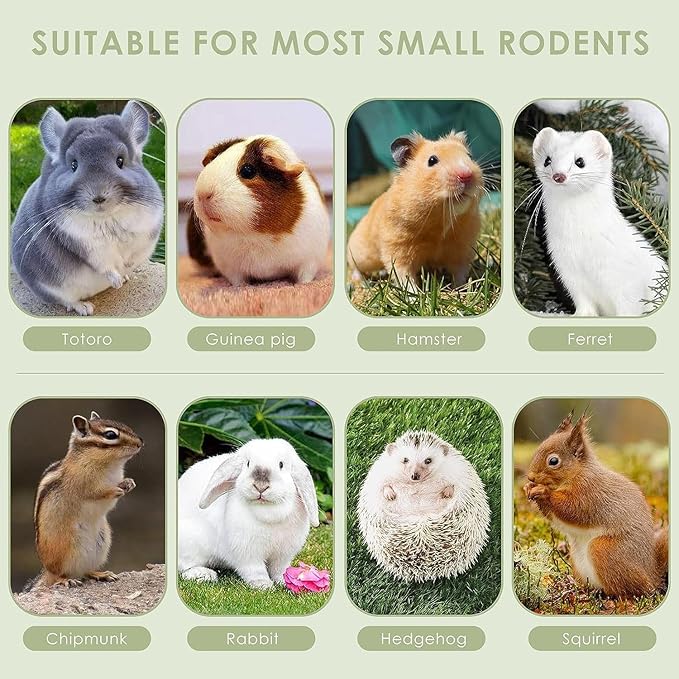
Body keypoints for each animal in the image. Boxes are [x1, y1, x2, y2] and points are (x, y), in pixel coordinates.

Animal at [11, 100, 164, 316]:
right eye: (74, 165)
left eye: (120, 161)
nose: (98, 197)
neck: (106, 218)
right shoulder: (84, 243)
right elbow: (104, 263)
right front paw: (116, 280)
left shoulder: (146, 231)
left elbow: (134, 254)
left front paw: (126, 270)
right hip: (51, 288)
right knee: (67, 301)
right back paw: (85, 307)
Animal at [178, 438, 320, 589]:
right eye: (248, 464)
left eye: (281, 465)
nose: (260, 486)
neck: (267, 510)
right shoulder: (247, 553)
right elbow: (255, 570)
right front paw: (264, 585)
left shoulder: (283, 555)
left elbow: (279, 570)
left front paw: (284, 581)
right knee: (184, 567)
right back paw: (203, 574)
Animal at [187, 135, 329, 286]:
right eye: (213, 161)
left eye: (247, 171)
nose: (203, 194)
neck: (254, 234)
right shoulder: (229, 267)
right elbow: (237, 281)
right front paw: (240, 287)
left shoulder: (310, 260)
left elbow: (305, 276)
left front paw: (302, 285)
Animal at [347, 131, 483, 287]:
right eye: (432, 160)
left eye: (470, 156)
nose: (466, 175)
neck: (441, 218)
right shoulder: (398, 249)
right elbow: (405, 276)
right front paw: (414, 293)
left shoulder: (462, 248)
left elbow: (460, 273)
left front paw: (460, 289)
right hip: (361, 254)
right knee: (355, 266)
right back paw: (361, 281)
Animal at [532, 127, 667, 316]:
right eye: (547, 160)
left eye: (580, 161)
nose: (558, 176)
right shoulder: (567, 268)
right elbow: (582, 300)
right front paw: (582, 315)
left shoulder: (626, 275)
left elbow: (629, 305)